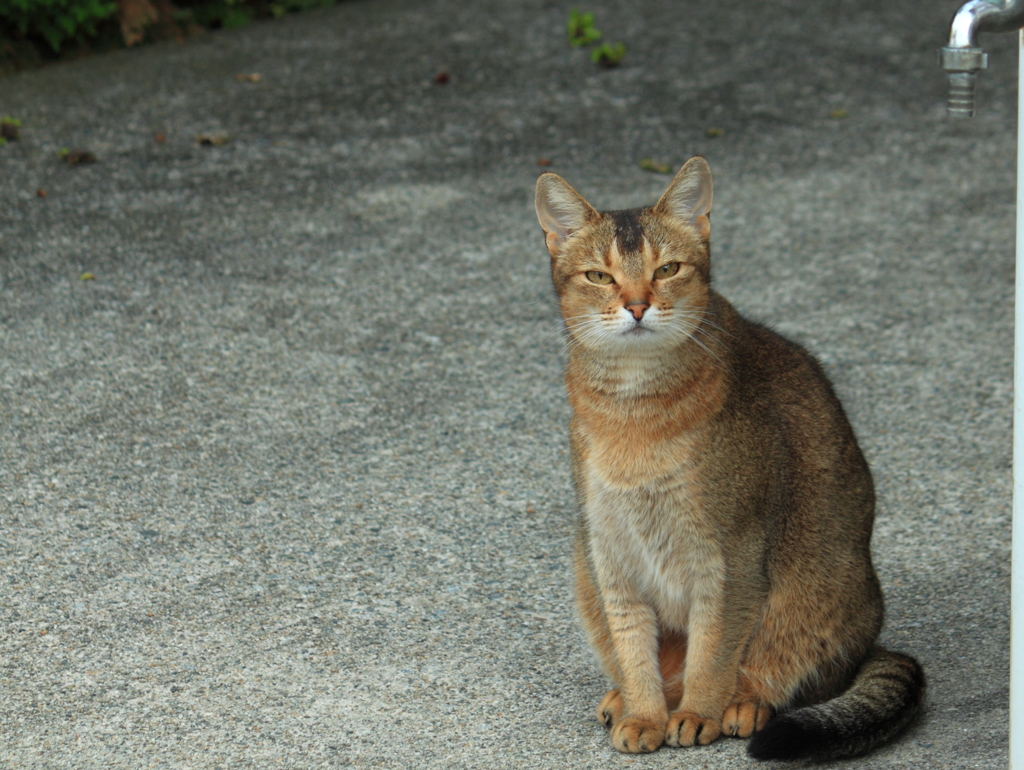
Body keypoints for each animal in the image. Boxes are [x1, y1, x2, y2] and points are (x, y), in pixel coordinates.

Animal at [536, 154, 929, 757]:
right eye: (599, 277)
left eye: (668, 269)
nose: (637, 306)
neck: (633, 408)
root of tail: (872, 643)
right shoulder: (610, 551)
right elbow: (633, 645)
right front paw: (645, 713)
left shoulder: (730, 553)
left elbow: (714, 647)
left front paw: (698, 712)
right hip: (583, 569)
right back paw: (626, 698)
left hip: (812, 589)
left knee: (782, 669)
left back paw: (741, 706)